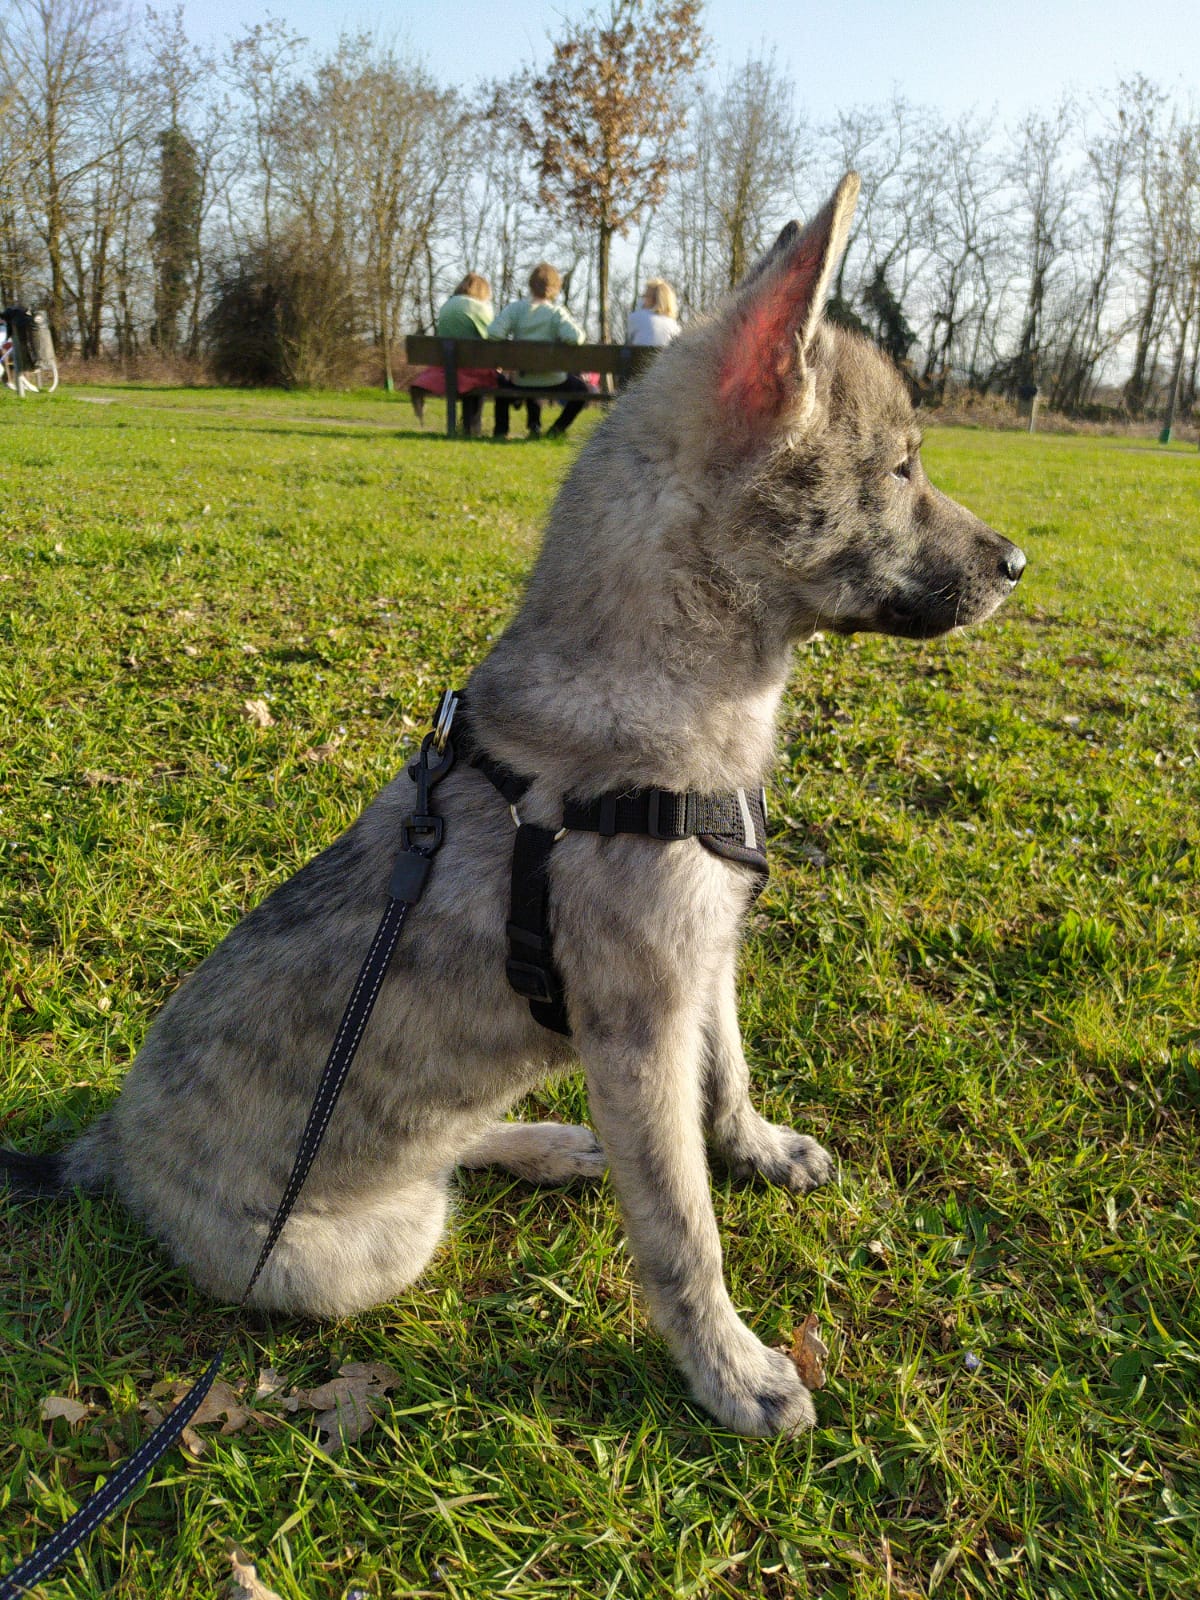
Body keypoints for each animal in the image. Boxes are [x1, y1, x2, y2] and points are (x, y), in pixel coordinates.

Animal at [4, 175, 1030, 1440]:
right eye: (897, 470)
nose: (1018, 564)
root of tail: (107, 1151)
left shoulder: (705, 969)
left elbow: (730, 1076)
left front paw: (756, 1149)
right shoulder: (638, 1030)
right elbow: (682, 1227)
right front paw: (731, 1368)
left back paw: (550, 1142)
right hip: (375, 1247)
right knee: (438, 1178)